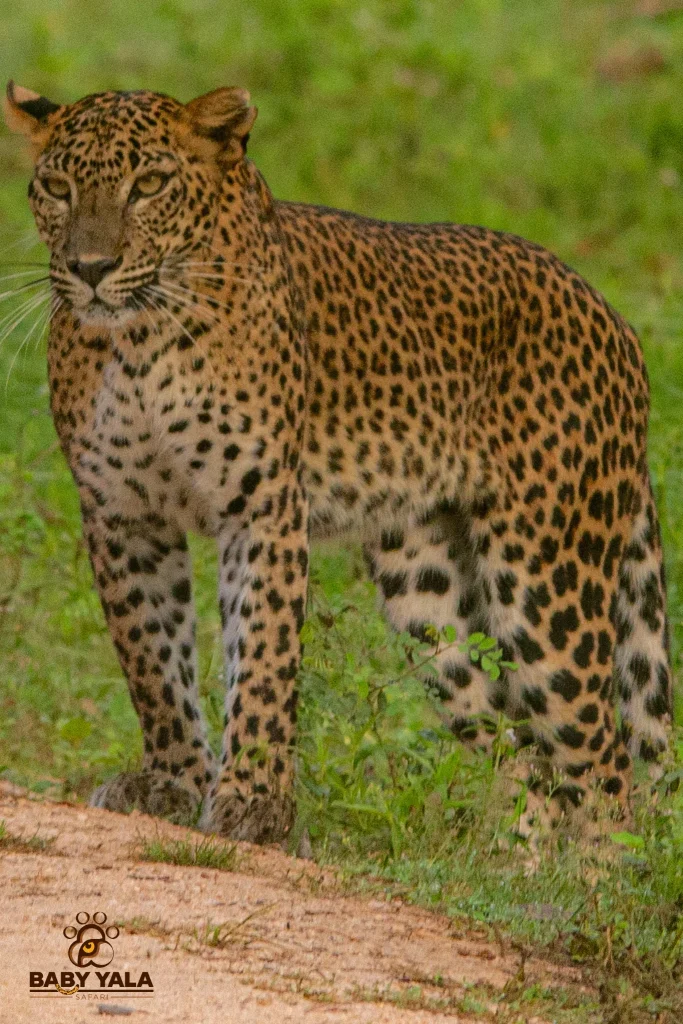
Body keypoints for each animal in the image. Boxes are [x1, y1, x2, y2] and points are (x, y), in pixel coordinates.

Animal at [4, 81, 672, 843]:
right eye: (57, 188)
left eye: (148, 185)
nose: (90, 269)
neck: (139, 341)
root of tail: (616, 322)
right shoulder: (123, 514)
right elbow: (152, 660)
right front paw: (172, 784)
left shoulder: (261, 506)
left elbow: (261, 659)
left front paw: (253, 802)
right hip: (430, 597)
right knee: (525, 757)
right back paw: (511, 858)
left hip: (547, 578)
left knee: (602, 763)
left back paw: (592, 870)